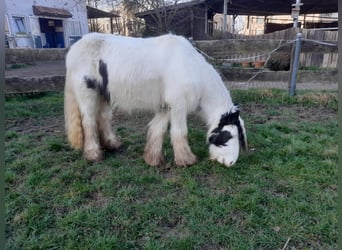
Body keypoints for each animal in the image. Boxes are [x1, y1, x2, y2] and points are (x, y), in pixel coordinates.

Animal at [63, 32, 246, 167]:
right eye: (228, 136)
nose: (230, 163)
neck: (192, 69)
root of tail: (74, 49)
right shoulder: (178, 105)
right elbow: (179, 132)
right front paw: (186, 160)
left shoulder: (166, 106)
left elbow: (157, 129)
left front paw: (152, 159)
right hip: (88, 94)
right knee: (89, 122)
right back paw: (93, 154)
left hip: (103, 95)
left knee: (102, 118)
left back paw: (112, 144)